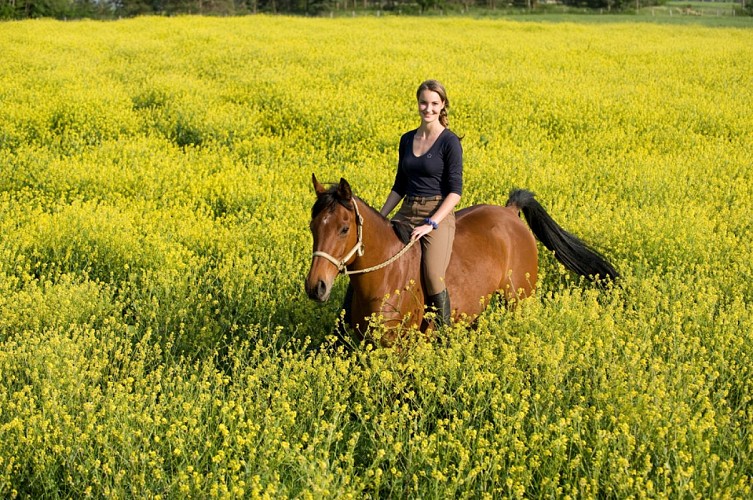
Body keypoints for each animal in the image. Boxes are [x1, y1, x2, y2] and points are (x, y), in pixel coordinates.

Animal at [306, 175, 616, 344]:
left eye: (344, 228)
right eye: (312, 227)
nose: (315, 287)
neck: (384, 276)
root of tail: (510, 211)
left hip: (519, 301)